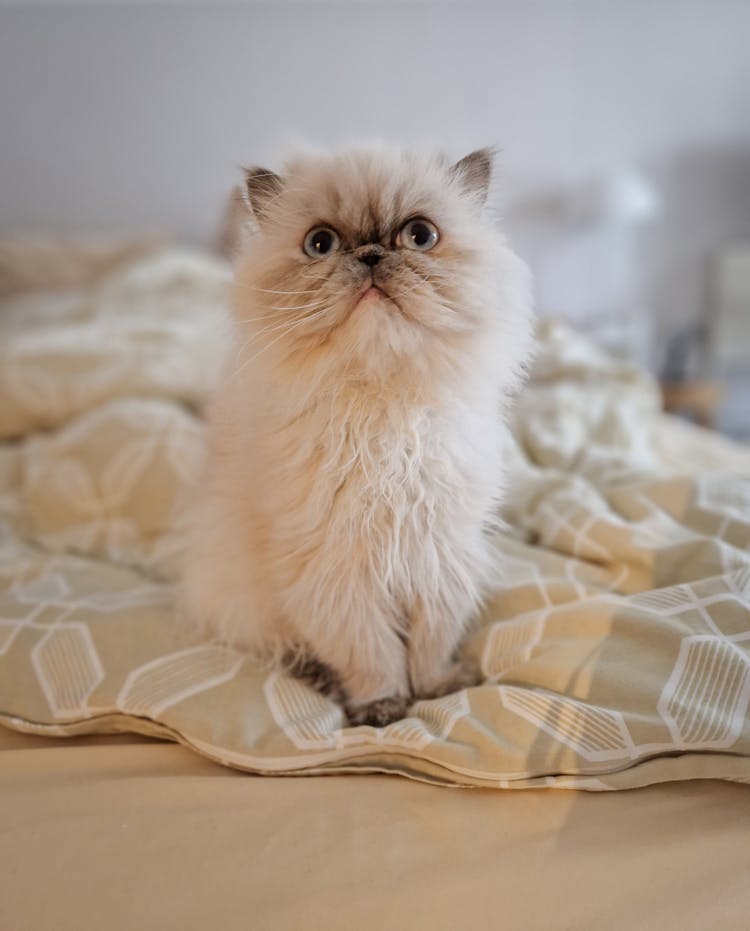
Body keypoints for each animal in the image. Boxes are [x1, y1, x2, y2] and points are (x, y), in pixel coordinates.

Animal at [182, 144, 536, 728]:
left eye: (419, 236)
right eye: (321, 244)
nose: (370, 256)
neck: (381, 407)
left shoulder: (438, 557)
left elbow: (430, 646)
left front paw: (437, 689)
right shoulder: (338, 573)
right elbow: (371, 653)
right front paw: (384, 708)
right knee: (290, 651)